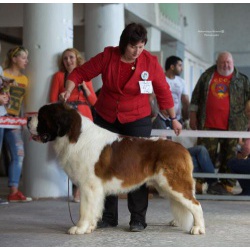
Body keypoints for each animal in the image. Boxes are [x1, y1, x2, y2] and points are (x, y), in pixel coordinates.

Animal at [26, 102, 205, 235]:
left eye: (41, 116)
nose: (27, 119)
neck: (74, 136)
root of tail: (181, 148)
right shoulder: (95, 188)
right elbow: (94, 208)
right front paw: (90, 227)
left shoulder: (88, 186)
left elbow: (84, 209)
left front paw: (79, 228)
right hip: (165, 186)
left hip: (173, 184)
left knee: (196, 205)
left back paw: (198, 228)